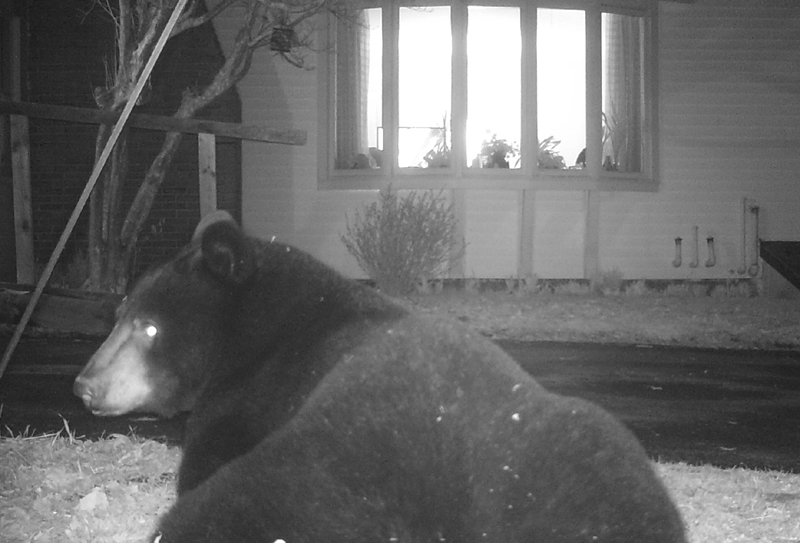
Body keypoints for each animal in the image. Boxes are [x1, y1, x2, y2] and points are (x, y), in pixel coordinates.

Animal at [74, 211, 686, 543]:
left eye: (149, 328)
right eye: (120, 313)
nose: (84, 385)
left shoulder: (248, 400)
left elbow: (204, 462)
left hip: (356, 441)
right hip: (604, 452)